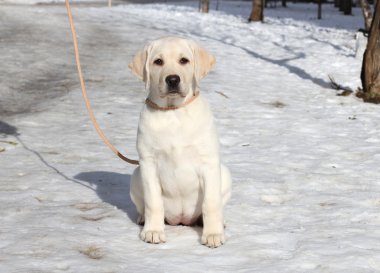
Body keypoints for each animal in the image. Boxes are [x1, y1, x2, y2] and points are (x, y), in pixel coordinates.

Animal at [128, 36, 232, 246]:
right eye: (158, 61)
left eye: (184, 60)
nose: (172, 79)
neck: (173, 112)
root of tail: (181, 219)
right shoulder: (148, 162)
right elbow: (153, 202)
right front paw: (153, 231)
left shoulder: (208, 162)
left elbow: (211, 203)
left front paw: (213, 234)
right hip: (136, 174)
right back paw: (143, 220)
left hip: (224, 173)